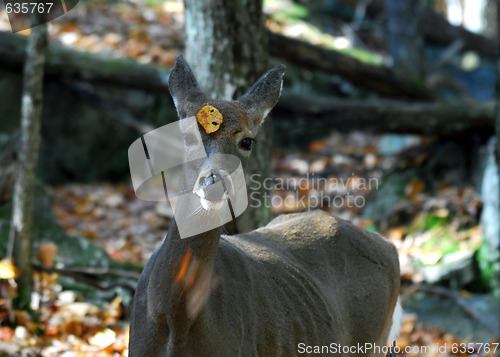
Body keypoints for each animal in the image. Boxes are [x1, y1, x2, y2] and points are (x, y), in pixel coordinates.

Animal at [130, 55, 402, 354]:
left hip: (375, 340)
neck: (174, 318)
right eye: (187, 137)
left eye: (247, 141)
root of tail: (389, 246)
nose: (213, 183)